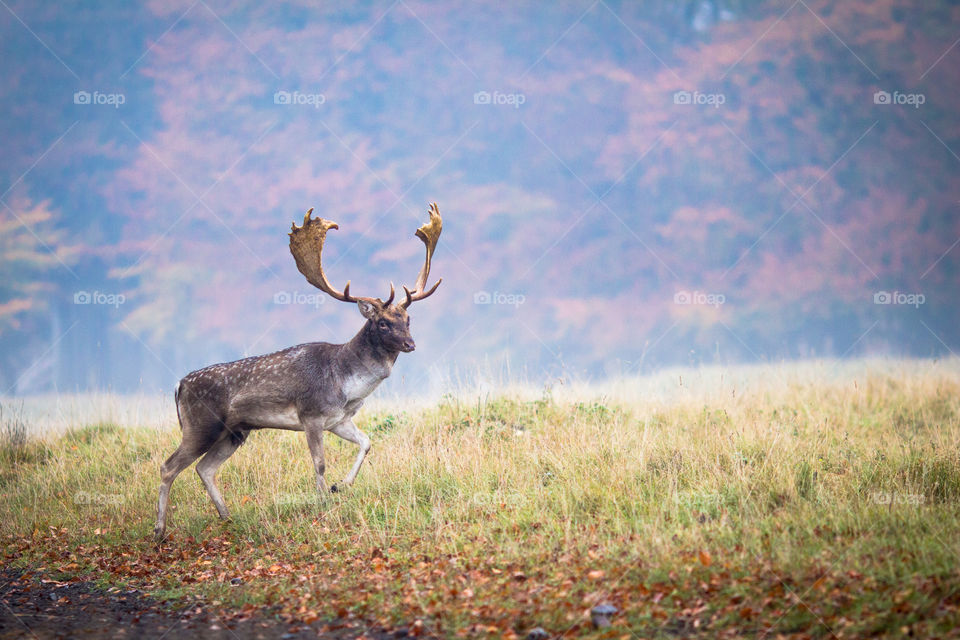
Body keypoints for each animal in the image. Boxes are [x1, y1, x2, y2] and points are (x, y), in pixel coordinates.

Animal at [154, 202, 442, 536]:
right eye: (383, 323)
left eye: (408, 320)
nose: (410, 344)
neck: (346, 383)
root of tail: (179, 385)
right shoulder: (311, 415)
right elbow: (319, 462)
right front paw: (323, 502)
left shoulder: (339, 420)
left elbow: (367, 442)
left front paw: (341, 485)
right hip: (201, 424)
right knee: (169, 466)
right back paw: (159, 529)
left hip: (235, 431)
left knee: (205, 467)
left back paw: (226, 516)